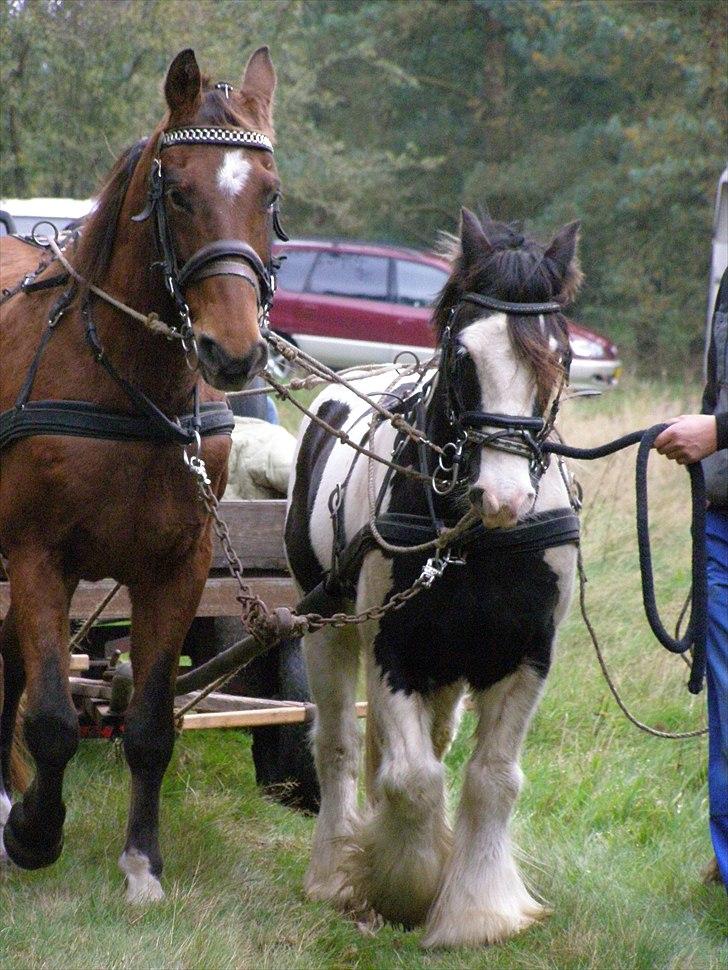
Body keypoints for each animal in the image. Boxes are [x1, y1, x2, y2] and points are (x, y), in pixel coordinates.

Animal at [0, 43, 280, 892]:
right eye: (179, 193)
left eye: (270, 194)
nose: (232, 352)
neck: (129, 384)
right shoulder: (39, 555)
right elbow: (53, 716)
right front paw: (34, 833)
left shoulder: (178, 564)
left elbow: (151, 724)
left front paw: (142, 862)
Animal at [288, 212, 584, 944]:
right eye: (462, 357)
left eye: (560, 358)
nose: (503, 497)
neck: (475, 538)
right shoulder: (392, 649)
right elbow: (413, 778)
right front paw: (402, 887)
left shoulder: (527, 654)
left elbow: (493, 778)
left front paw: (478, 910)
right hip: (325, 624)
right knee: (339, 745)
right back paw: (333, 869)